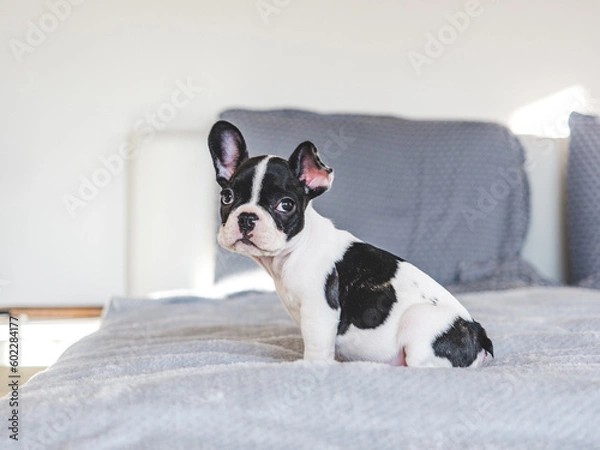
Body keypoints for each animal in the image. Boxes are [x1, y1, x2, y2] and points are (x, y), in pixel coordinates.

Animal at [209, 120, 494, 370]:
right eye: (227, 197)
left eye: (285, 205)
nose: (247, 217)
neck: (296, 250)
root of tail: (478, 334)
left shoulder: (318, 310)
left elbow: (316, 346)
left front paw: (309, 365)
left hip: (419, 323)